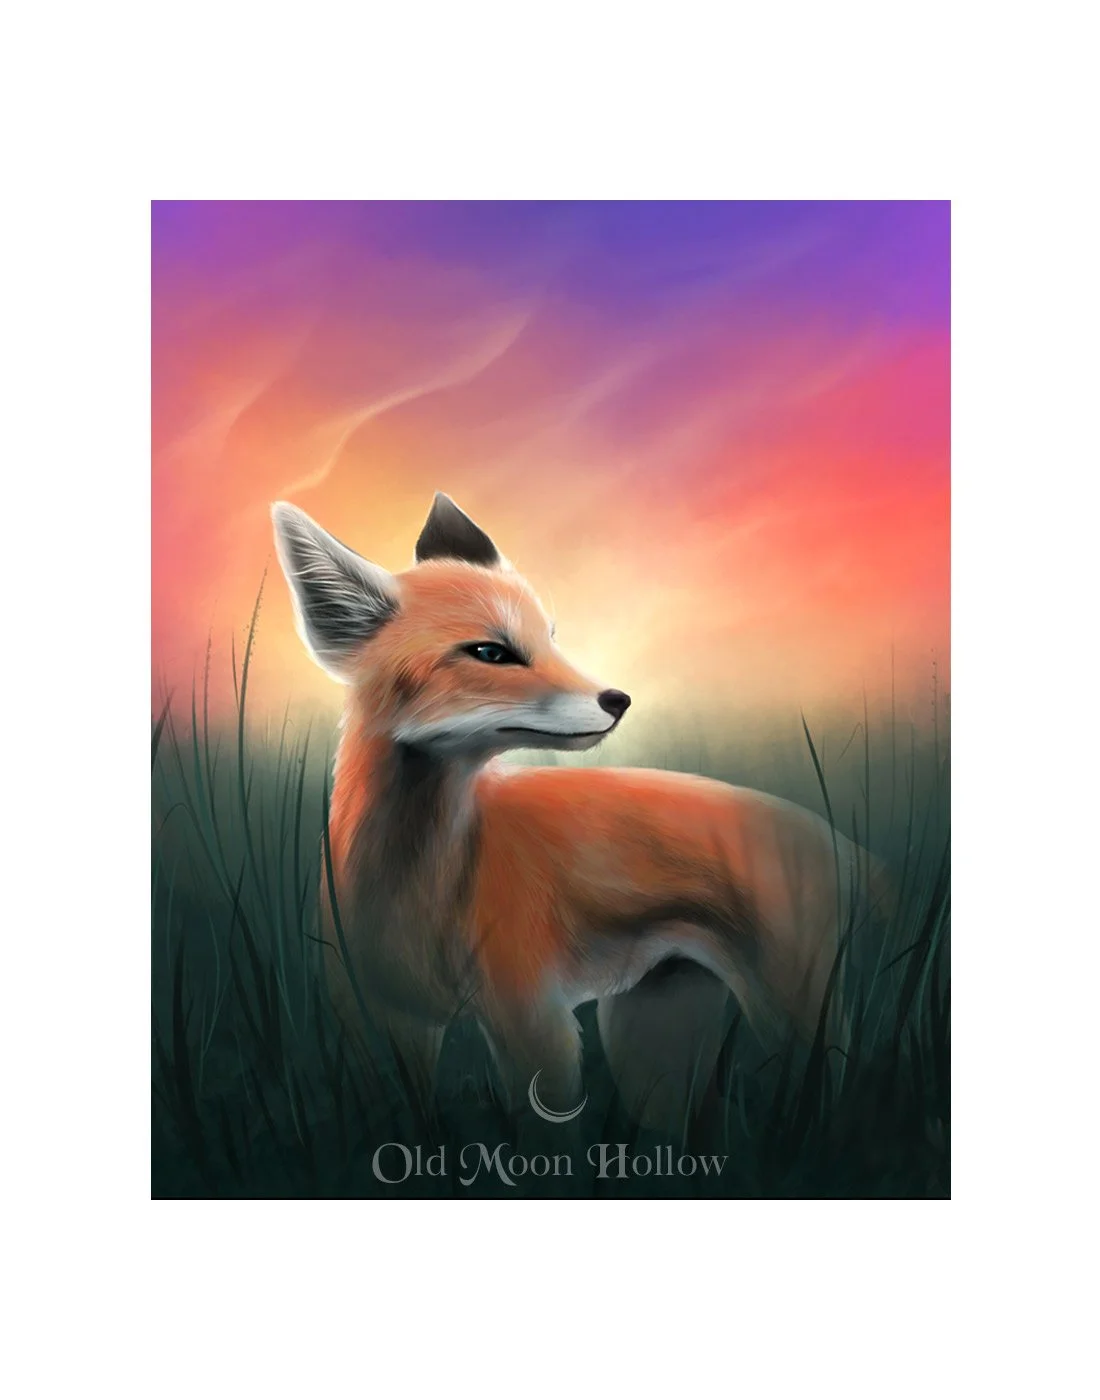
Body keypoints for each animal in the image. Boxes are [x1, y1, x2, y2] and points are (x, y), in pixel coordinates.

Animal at [271, 492, 879, 1128]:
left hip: (793, 1022)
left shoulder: (535, 1021)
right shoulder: (380, 1027)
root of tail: (839, 841)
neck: (419, 890)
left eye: (551, 637)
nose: (619, 699)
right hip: (651, 1045)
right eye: (491, 652)